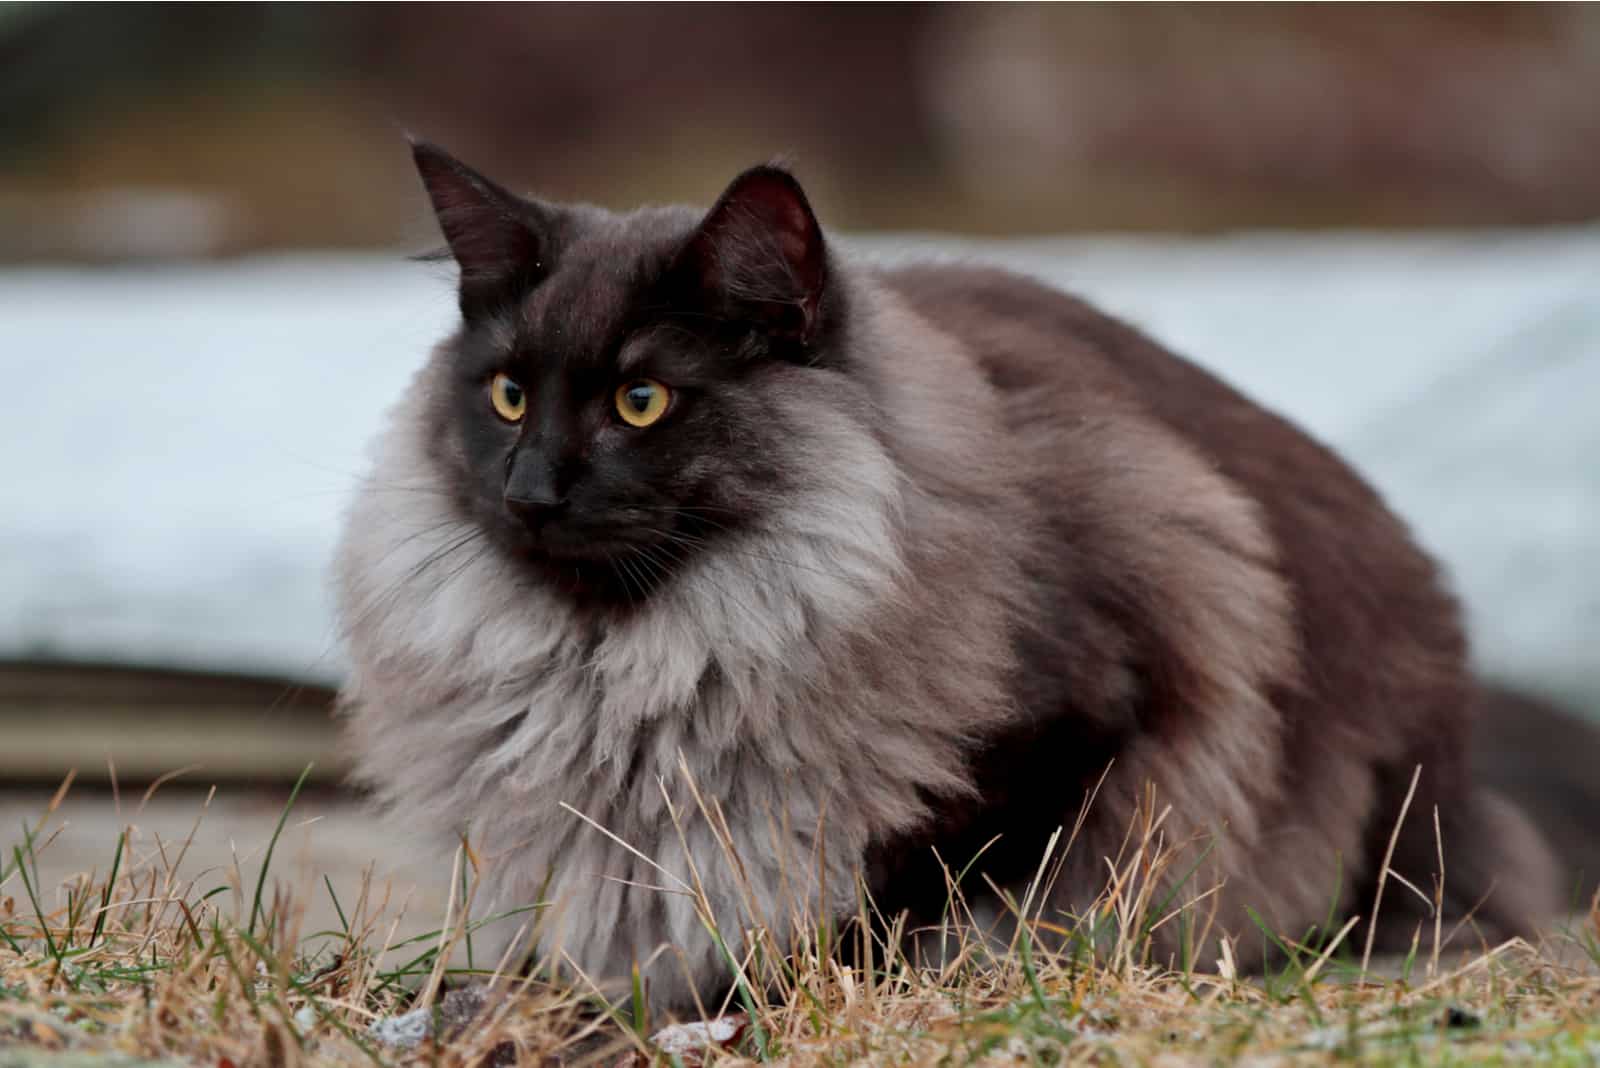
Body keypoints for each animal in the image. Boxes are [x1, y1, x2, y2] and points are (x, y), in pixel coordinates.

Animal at [334, 141, 1574, 1016]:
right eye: (506, 395)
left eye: (643, 402)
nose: (531, 489)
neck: (634, 662)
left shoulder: (1097, 700)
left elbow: (889, 905)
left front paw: (739, 996)